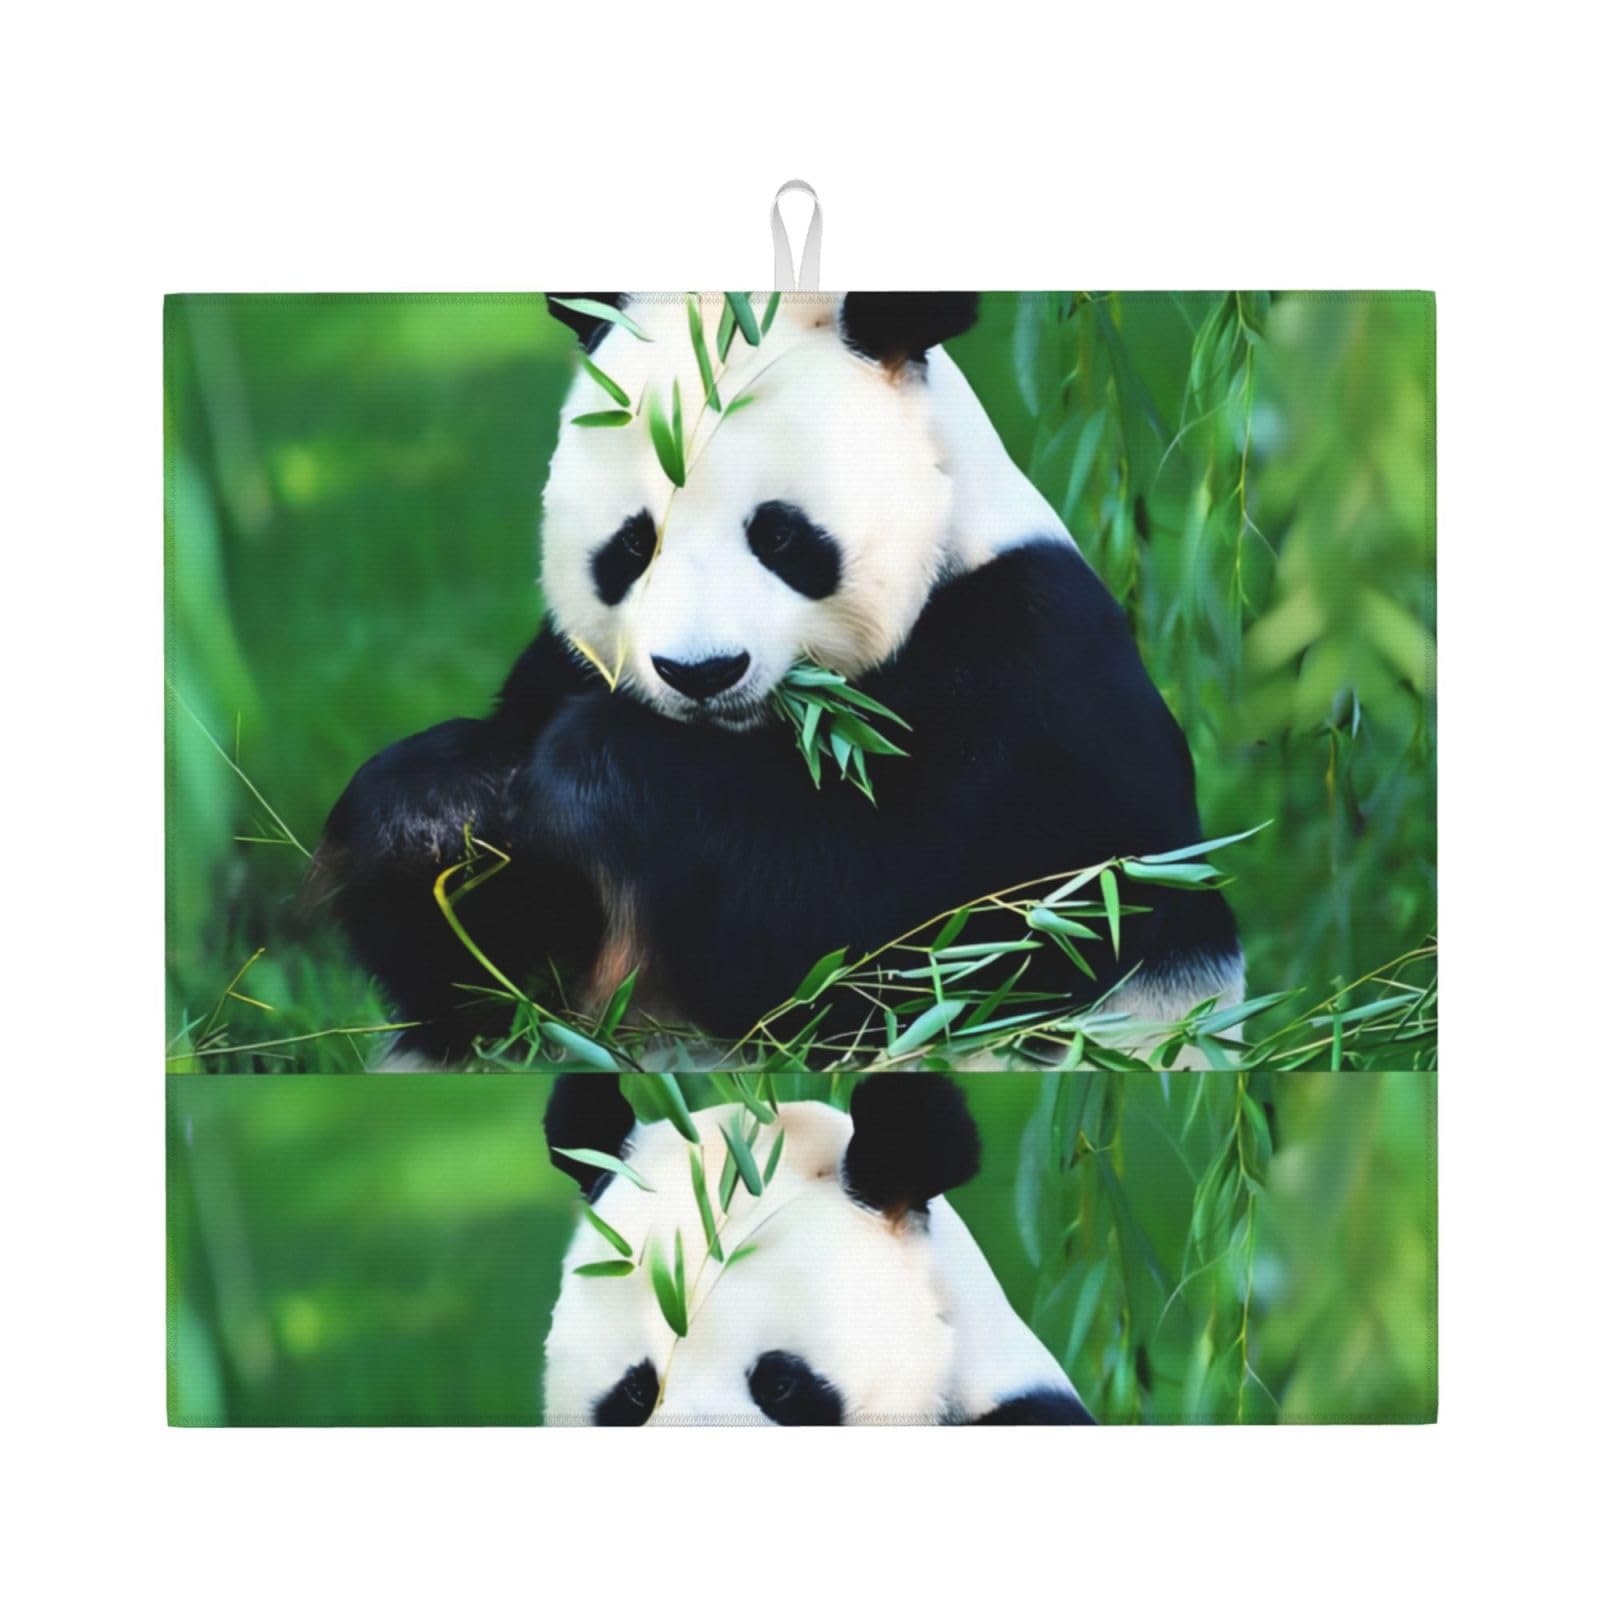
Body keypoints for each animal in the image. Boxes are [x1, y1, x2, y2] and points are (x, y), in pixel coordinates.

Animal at [315, 292, 1242, 1064]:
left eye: (782, 537)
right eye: (634, 544)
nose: (701, 672)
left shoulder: (1037, 689)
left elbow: (883, 934)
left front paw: (595, 765)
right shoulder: (563, 664)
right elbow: (494, 981)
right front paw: (436, 809)